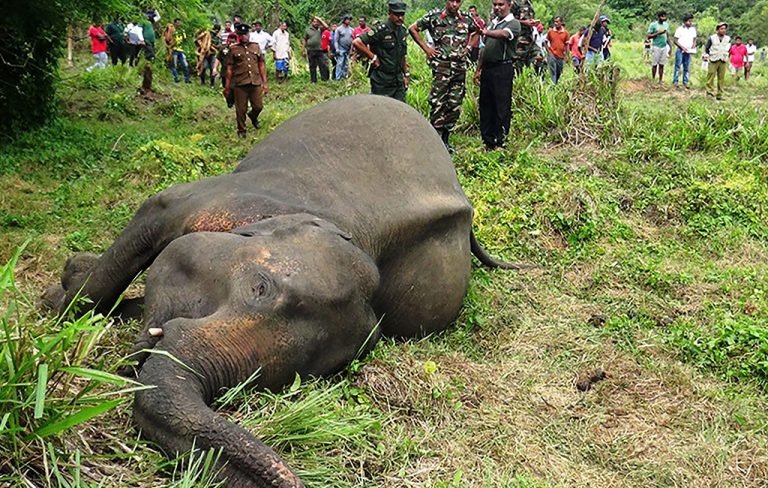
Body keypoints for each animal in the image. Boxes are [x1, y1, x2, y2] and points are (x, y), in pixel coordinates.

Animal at [43, 94, 527, 487]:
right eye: (259, 287)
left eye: (316, 372)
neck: (354, 233)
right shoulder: (218, 197)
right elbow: (156, 211)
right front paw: (58, 301)